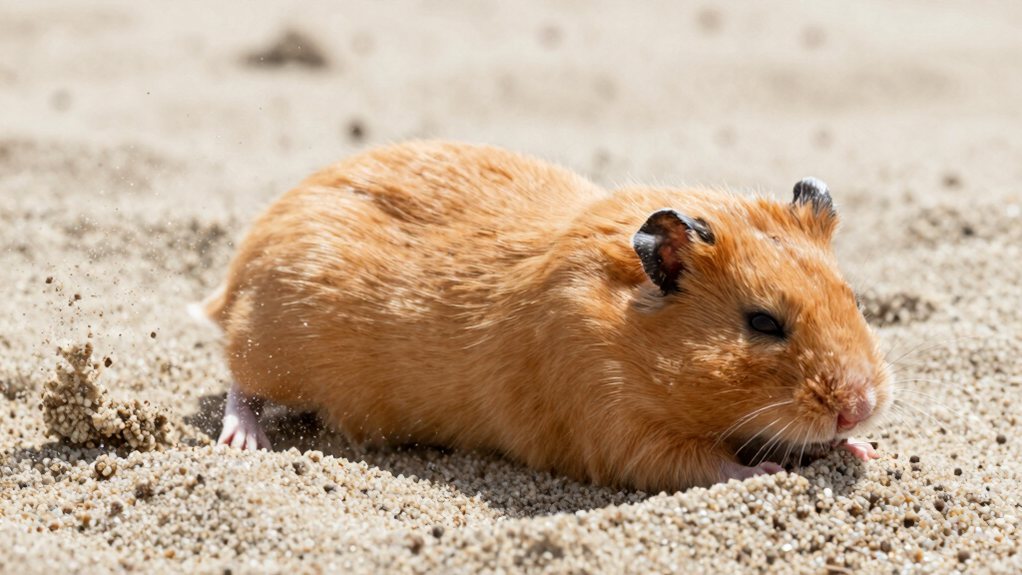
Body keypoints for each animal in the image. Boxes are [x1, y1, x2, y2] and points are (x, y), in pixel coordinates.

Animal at [200, 140, 890, 491]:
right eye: (763, 323)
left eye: (853, 299)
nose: (859, 407)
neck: (632, 336)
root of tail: (234, 278)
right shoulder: (615, 427)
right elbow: (703, 465)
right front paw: (770, 470)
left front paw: (861, 450)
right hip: (275, 350)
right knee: (239, 384)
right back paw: (244, 442)